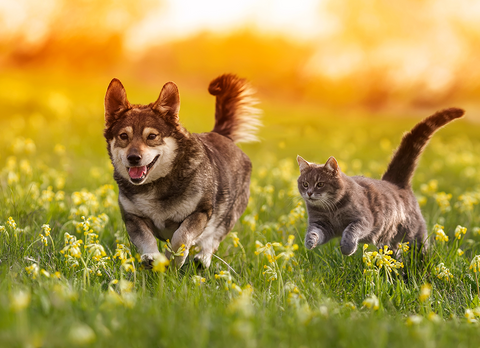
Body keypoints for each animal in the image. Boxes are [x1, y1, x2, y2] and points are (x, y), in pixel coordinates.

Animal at [296, 108, 464, 256]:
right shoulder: (321, 224)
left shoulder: (364, 220)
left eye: (320, 184)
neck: (331, 209)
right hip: (389, 240)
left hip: (414, 234)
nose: (309, 193)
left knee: (421, 248)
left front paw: (347, 248)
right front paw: (310, 241)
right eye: (305, 184)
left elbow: (350, 231)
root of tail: (396, 182)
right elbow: (314, 232)